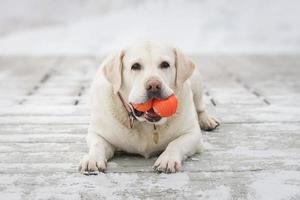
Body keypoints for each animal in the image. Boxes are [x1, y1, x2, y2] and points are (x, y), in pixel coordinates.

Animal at [79, 41, 220, 173]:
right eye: (135, 66)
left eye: (165, 64)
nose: (154, 86)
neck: (146, 124)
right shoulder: (97, 133)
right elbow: (97, 144)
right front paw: (92, 159)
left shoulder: (193, 135)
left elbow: (176, 143)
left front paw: (167, 159)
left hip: (196, 82)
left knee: (200, 106)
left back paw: (207, 120)